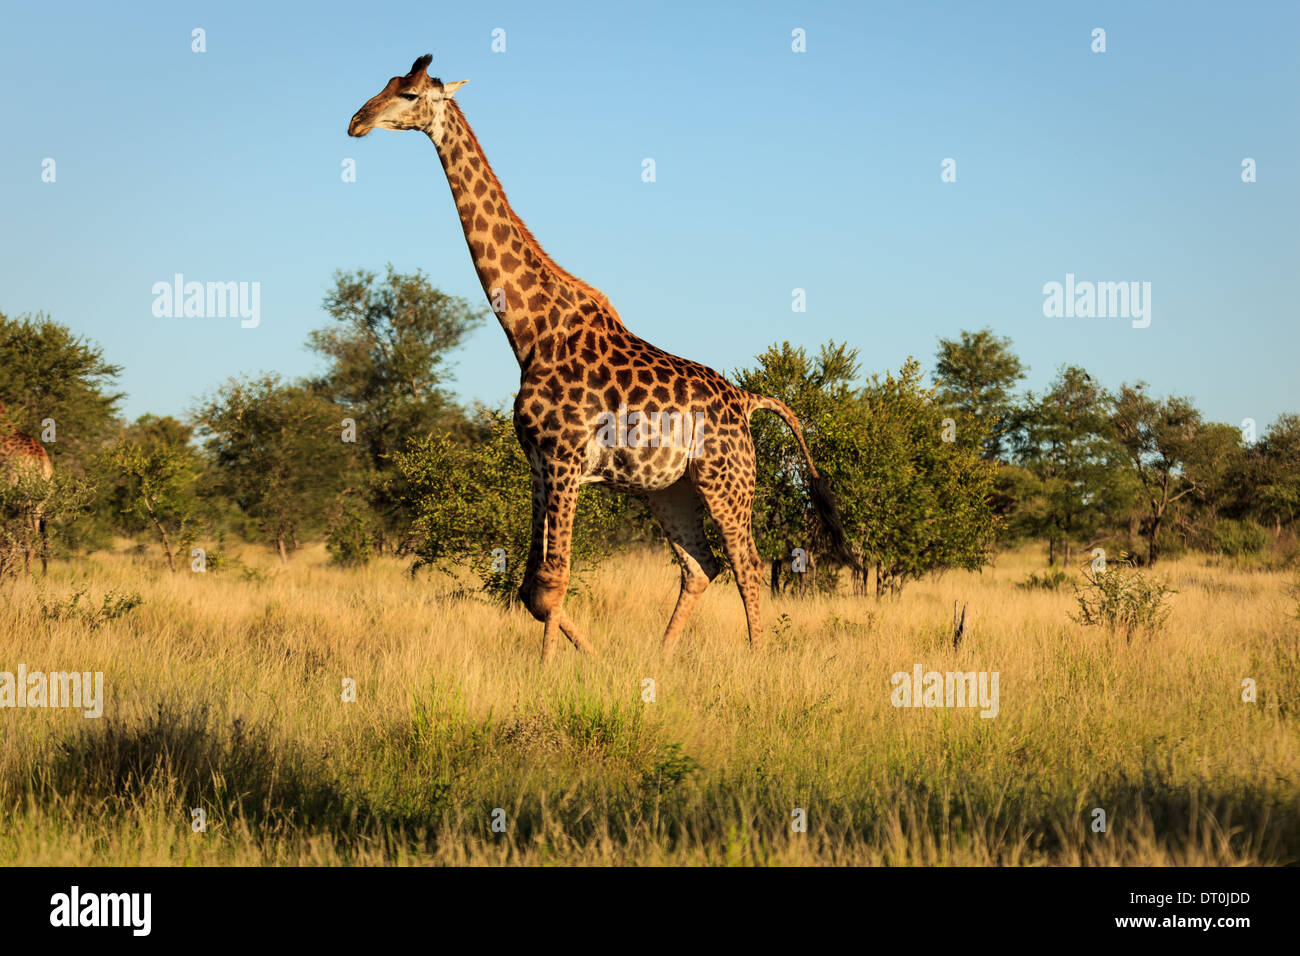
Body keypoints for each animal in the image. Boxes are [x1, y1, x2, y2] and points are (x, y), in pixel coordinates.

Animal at [345, 55, 857, 660]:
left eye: (409, 93)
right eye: (386, 84)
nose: (356, 121)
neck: (530, 331)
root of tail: (749, 400)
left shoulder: (565, 459)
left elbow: (553, 581)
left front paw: (555, 670)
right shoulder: (538, 462)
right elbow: (530, 587)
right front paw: (591, 660)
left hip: (726, 479)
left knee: (748, 564)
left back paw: (755, 662)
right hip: (669, 489)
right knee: (700, 566)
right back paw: (662, 658)